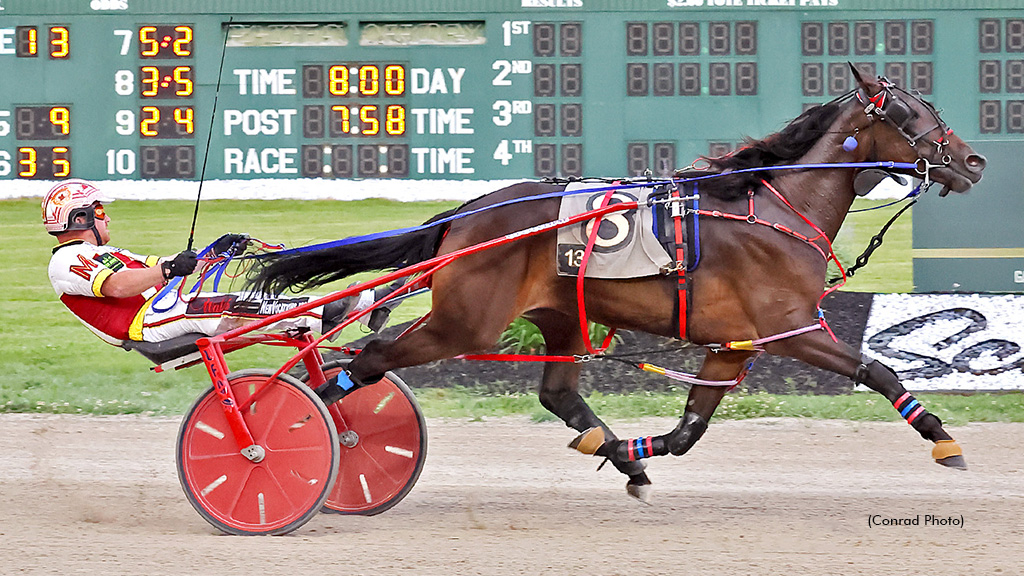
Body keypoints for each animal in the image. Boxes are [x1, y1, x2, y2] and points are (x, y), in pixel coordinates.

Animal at [247, 66, 983, 498]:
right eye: (912, 114)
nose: (973, 161)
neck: (775, 209)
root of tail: (466, 213)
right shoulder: (792, 328)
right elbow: (878, 371)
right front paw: (943, 439)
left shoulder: (733, 344)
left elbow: (689, 429)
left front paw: (633, 451)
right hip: (466, 320)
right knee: (369, 357)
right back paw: (289, 427)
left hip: (558, 317)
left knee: (557, 393)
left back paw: (613, 449)